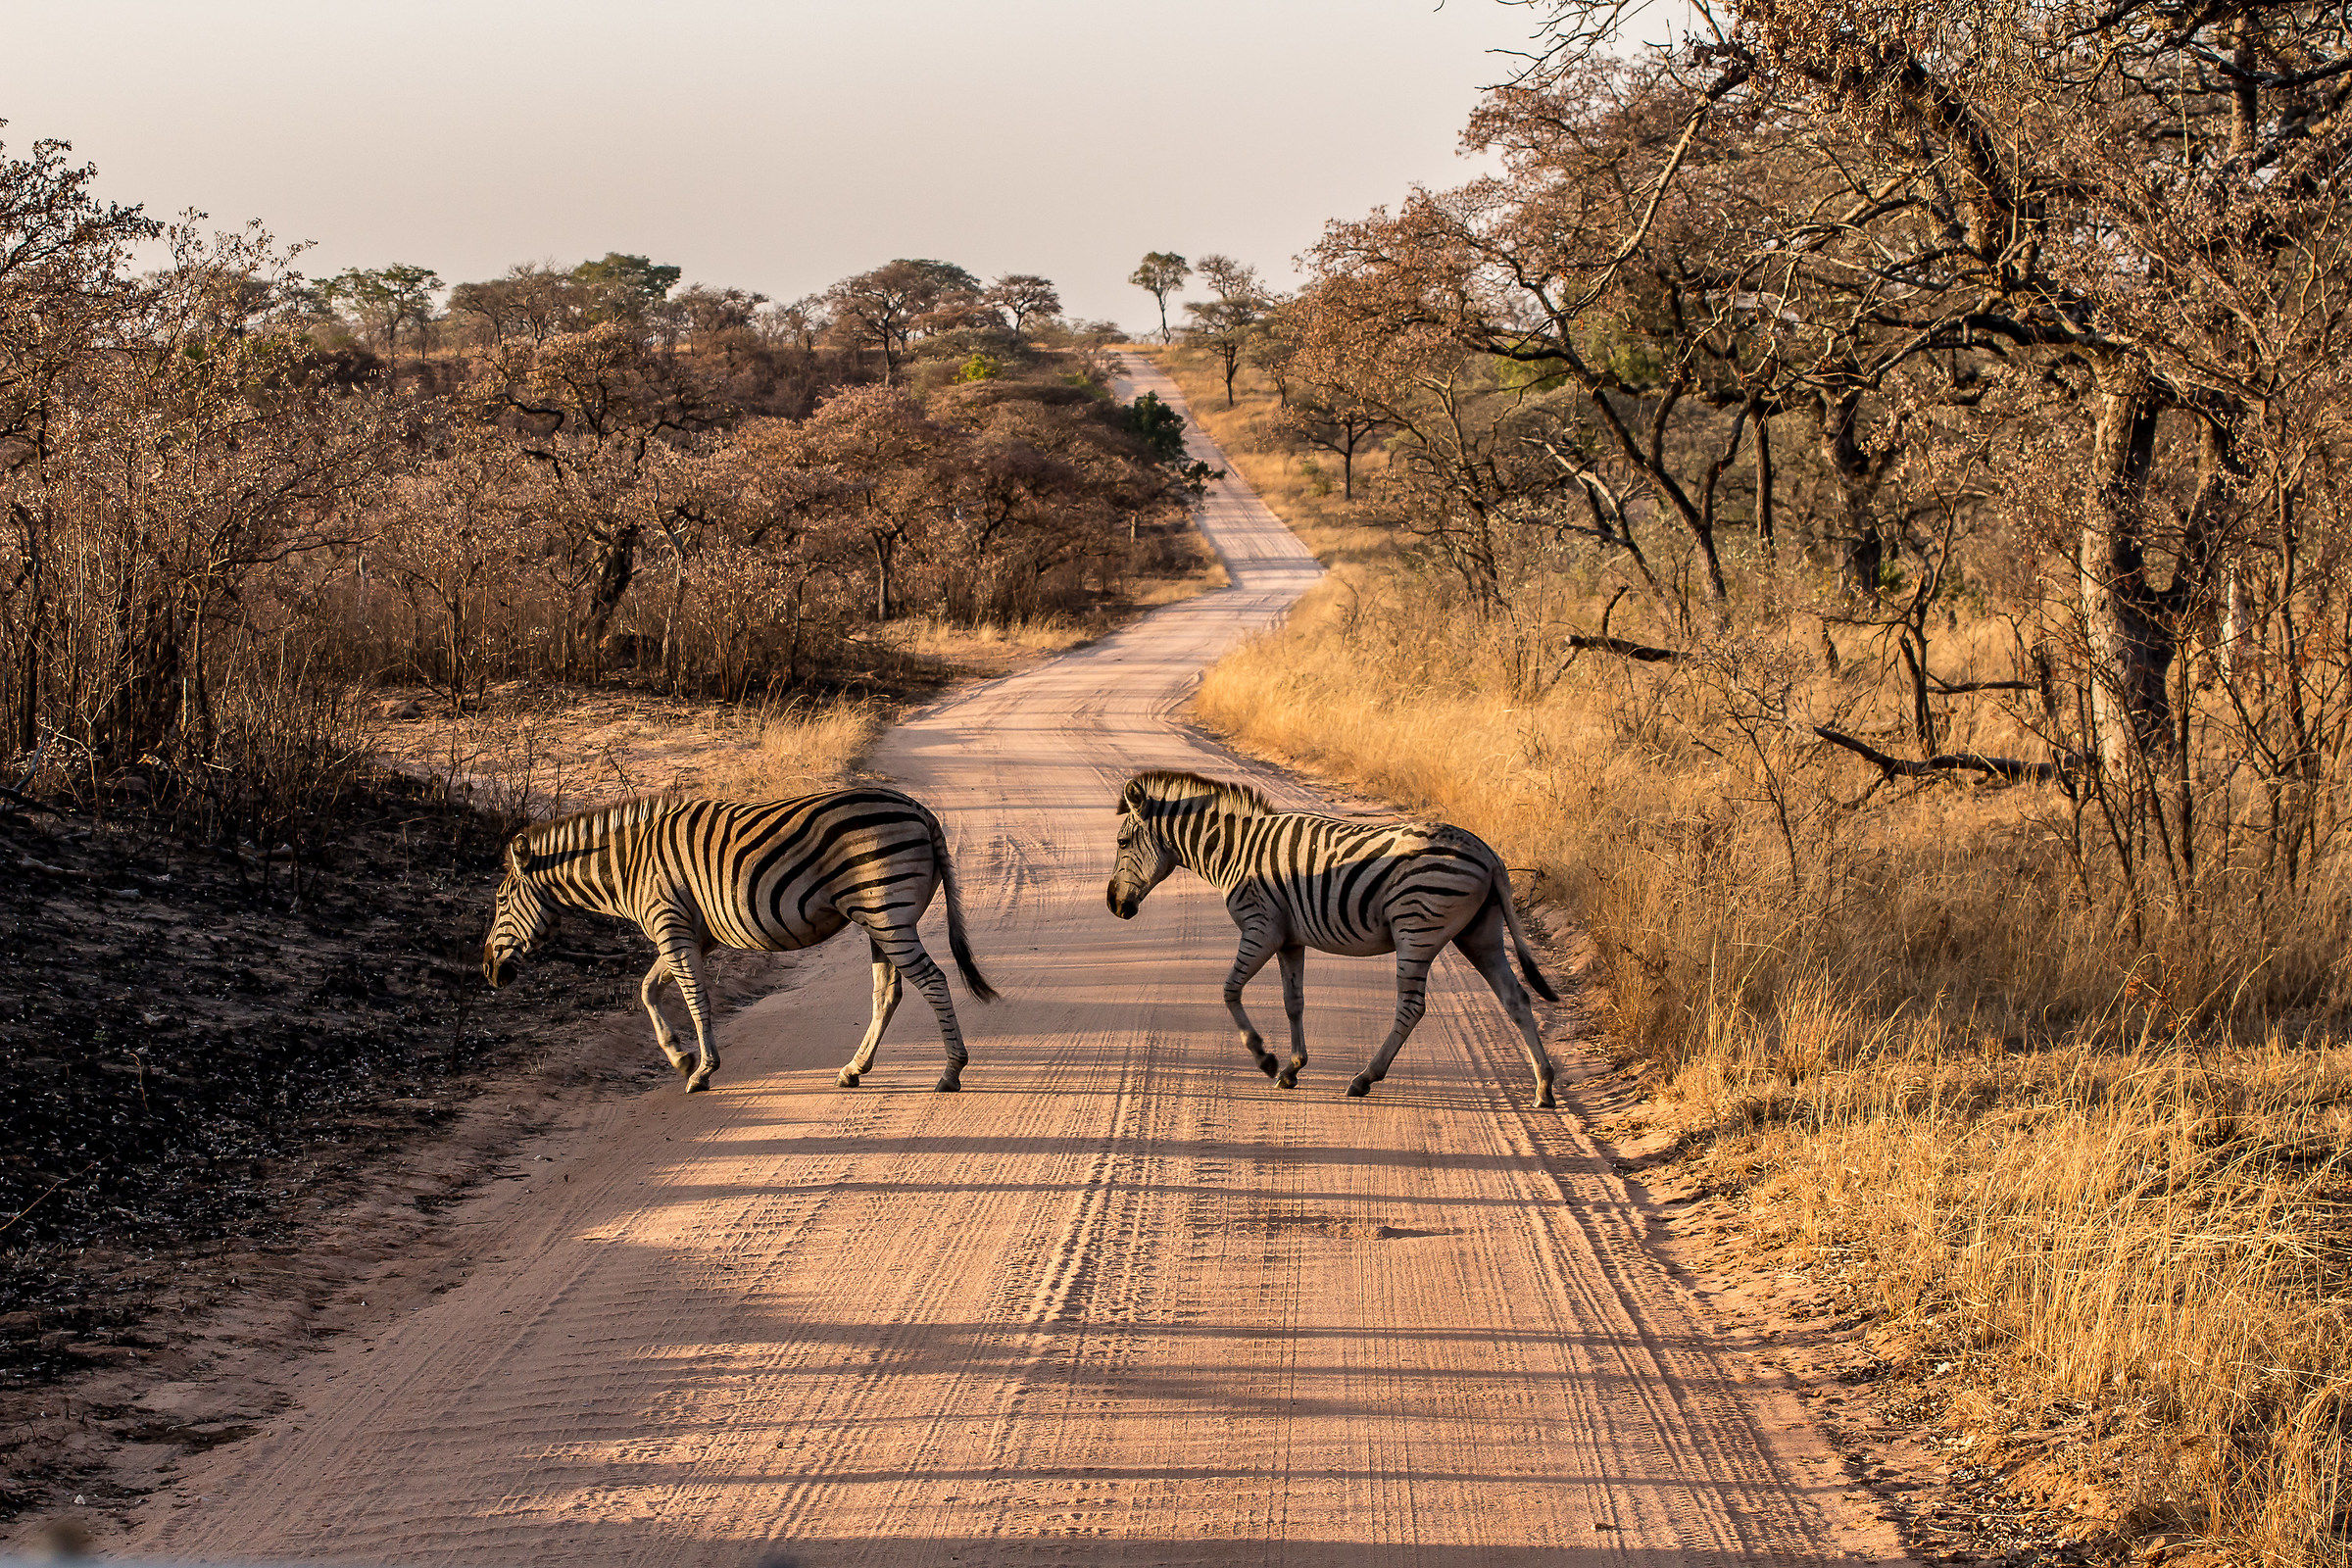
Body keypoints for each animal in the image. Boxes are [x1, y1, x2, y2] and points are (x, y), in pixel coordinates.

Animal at [481, 788, 997, 1093]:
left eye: (502, 899)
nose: (488, 969)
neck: (629, 868)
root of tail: (922, 813)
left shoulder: (670, 924)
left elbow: (694, 999)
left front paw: (702, 1070)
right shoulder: (692, 934)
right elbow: (649, 990)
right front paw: (680, 1057)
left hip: (886, 913)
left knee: (933, 981)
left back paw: (951, 1071)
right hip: (877, 919)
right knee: (888, 993)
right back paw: (854, 1069)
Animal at [1105, 770, 1558, 1109]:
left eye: (1122, 842)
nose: (1113, 905)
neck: (1234, 852)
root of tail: (1489, 854)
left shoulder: (1260, 927)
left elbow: (1230, 990)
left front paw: (1265, 1058)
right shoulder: (1290, 939)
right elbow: (1293, 1002)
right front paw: (1292, 1068)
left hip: (1416, 929)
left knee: (1412, 1007)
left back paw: (1364, 1078)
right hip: (1478, 934)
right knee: (1516, 998)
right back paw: (1544, 1087)